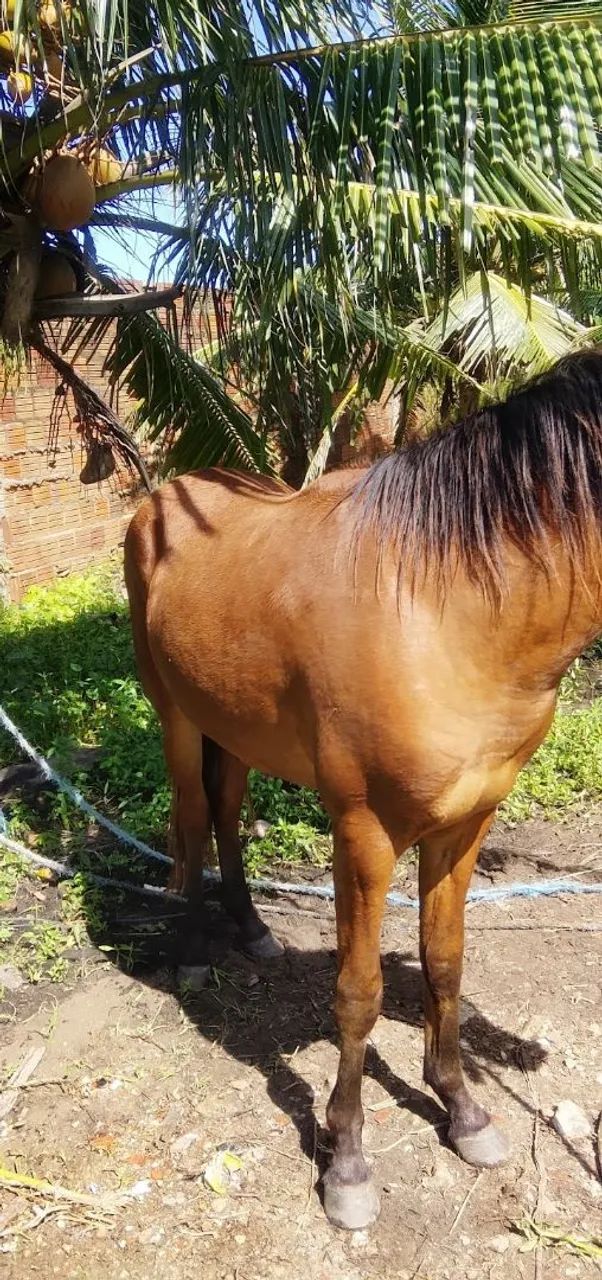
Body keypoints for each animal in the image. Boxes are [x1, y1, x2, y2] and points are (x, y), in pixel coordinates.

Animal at [124, 348, 602, 1231]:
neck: (448, 612)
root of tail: (167, 496)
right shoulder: (366, 833)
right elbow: (359, 993)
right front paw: (345, 1160)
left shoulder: (467, 824)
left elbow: (445, 964)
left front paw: (463, 1112)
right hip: (174, 714)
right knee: (195, 816)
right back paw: (194, 954)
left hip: (233, 725)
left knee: (228, 812)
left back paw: (251, 929)